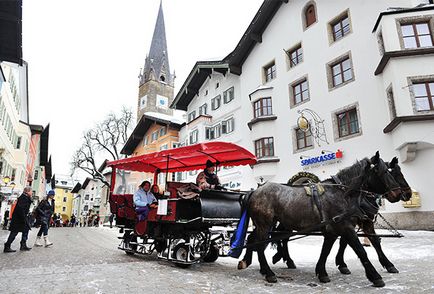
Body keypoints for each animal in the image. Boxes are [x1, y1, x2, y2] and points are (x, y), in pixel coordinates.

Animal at [239, 152, 402, 288]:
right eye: (383, 172)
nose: (399, 194)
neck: (342, 193)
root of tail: (254, 191)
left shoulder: (333, 230)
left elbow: (326, 250)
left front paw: (322, 272)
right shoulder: (346, 227)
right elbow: (361, 251)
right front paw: (375, 276)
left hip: (268, 224)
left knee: (255, 240)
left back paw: (253, 264)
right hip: (265, 224)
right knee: (260, 245)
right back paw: (269, 273)